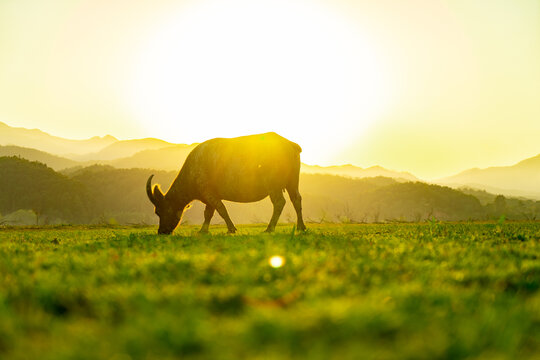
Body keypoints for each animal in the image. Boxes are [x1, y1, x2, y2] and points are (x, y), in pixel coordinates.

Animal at [148, 131, 306, 233]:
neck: (192, 170)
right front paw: (203, 230)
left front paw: (231, 228)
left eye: (159, 211)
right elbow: (208, 213)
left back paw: (269, 228)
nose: (161, 231)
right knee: (296, 199)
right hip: (293, 182)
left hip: (273, 185)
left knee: (279, 202)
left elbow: (221, 209)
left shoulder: (209, 193)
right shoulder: (209, 197)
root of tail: (291, 145)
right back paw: (301, 226)